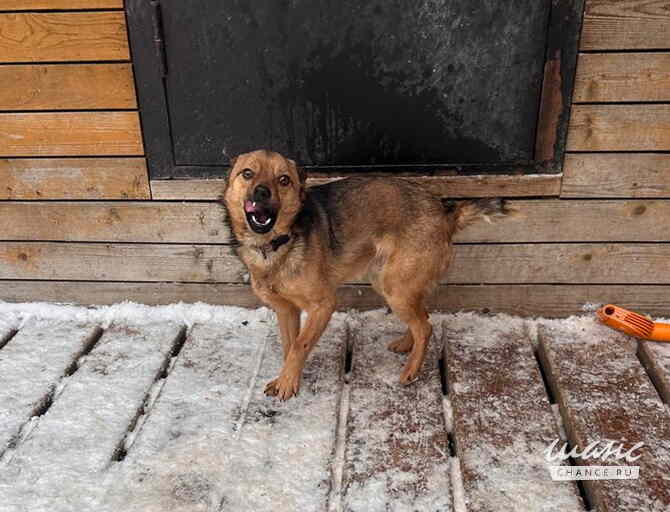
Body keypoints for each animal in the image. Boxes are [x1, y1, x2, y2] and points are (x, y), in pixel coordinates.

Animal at [220, 148, 510, 400]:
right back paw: (407, 344)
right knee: (422, 319)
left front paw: (287, 383)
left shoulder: (323, 305)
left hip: (396, 289)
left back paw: (411, 370)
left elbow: (299, 345)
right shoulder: (286, 310)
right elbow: (289, 346)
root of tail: (445, 212)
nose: (261, 191)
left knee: (425, 327)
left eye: (284, 180)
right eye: (247, 173)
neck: (274, 246)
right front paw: (287, 378)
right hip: (391, 283)